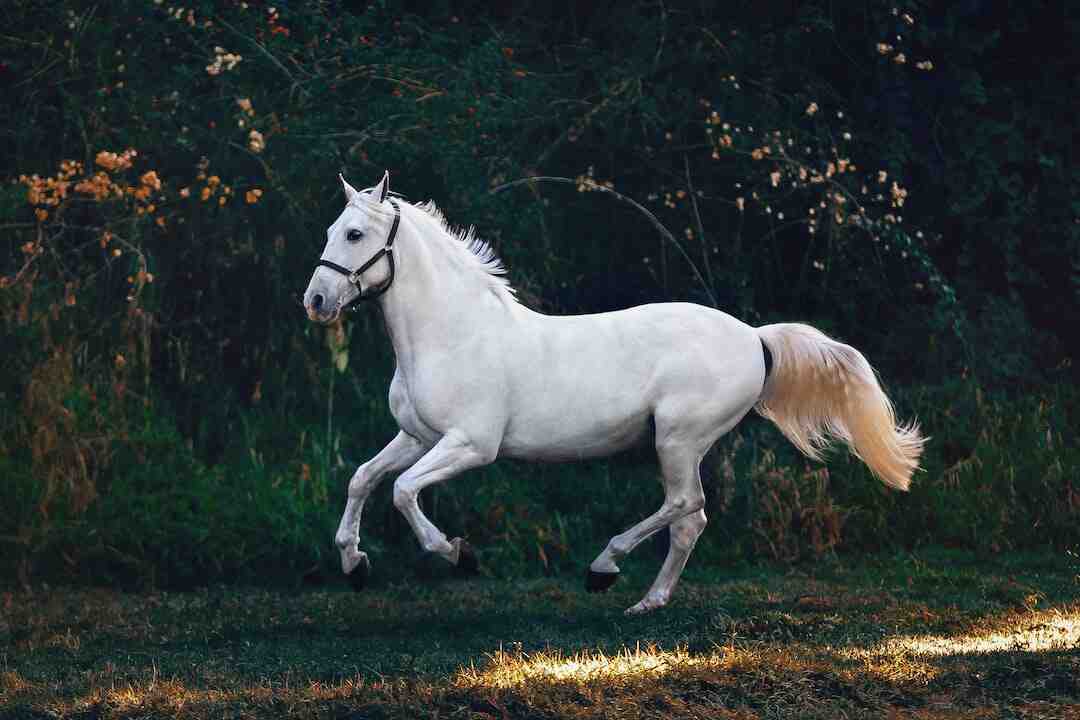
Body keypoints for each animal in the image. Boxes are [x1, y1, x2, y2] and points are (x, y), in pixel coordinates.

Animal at [303, 172, 925, 614]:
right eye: (329, 231)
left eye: (355, 234)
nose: (316, 301)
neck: (454, 333)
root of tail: (754, 337)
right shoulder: (416, 436)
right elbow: (363, 478)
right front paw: (354, 564)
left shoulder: (470, 445)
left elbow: (403, 491)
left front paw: (458, 554)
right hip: (680, 444)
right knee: (691, 519)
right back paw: (647, 601)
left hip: (677, 438)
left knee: (684, 506)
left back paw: (604, 568)